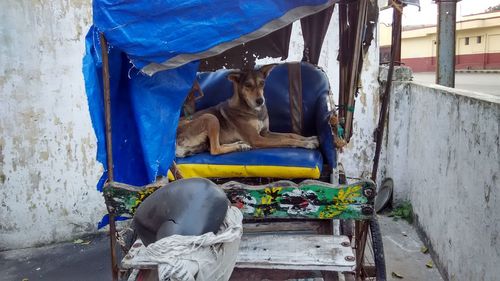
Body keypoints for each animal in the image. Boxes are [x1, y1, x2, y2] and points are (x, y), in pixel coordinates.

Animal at [174, 65, 318, 158]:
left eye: (262, 83)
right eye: (248, 85)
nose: (260, 101)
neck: (253, 110)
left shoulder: (265, 132)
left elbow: (290, 135)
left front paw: (309, 138)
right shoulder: (257, 139)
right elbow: (285, 140)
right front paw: (307, 143)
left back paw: (240, 144)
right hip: (210, 117)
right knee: (215, 150)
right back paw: (239, 146)